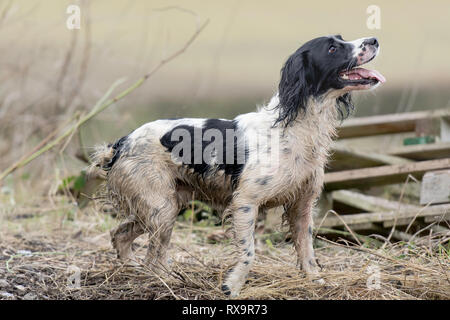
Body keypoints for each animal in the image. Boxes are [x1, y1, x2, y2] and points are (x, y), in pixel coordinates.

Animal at [89, 33, 386, 296]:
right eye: (333, 48)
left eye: (341, 39)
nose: (373, 40)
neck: (295, 127)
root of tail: (120, 143)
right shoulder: (245, 203)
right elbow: (249, 252)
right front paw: (231, 286)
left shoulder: (302, 206)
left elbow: (307, 252)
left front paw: (317, 282)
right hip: (162, 208)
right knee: (153, 256)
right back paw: (163, 280)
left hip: (165, 205)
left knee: (121, 235)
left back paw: (135, 269)